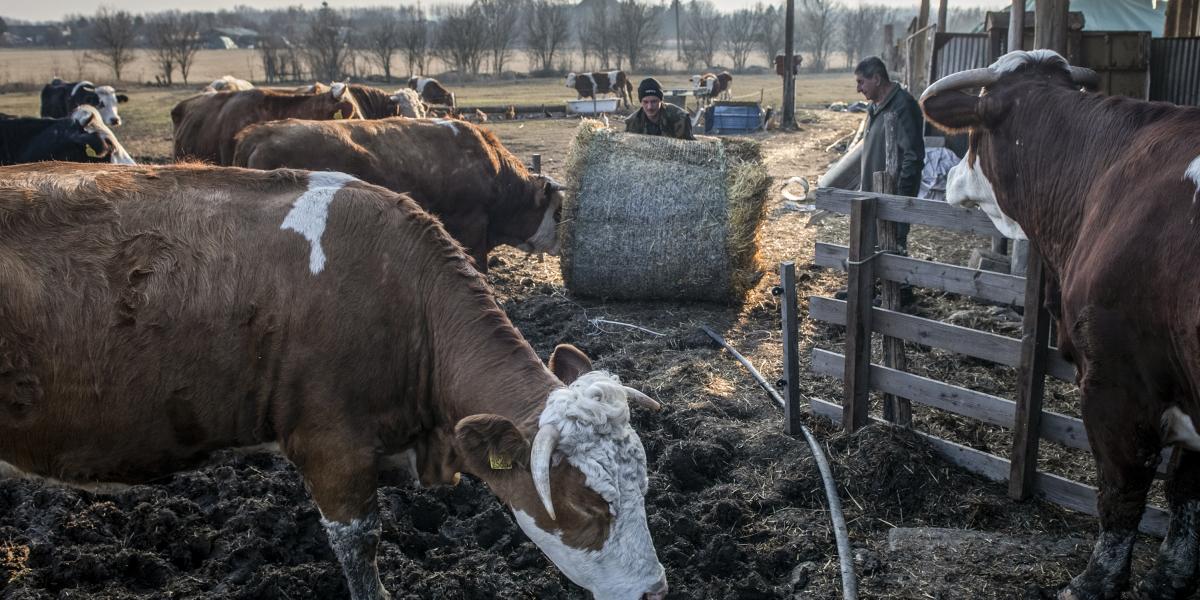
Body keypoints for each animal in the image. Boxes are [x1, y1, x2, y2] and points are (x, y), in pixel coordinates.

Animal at [921, 50, 1200, 600]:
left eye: (974, 133)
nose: (951, 181)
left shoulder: (1117, 383)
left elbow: (1121, 488)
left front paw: (1095, 582)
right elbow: (1186, 489)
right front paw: (1168, 578)